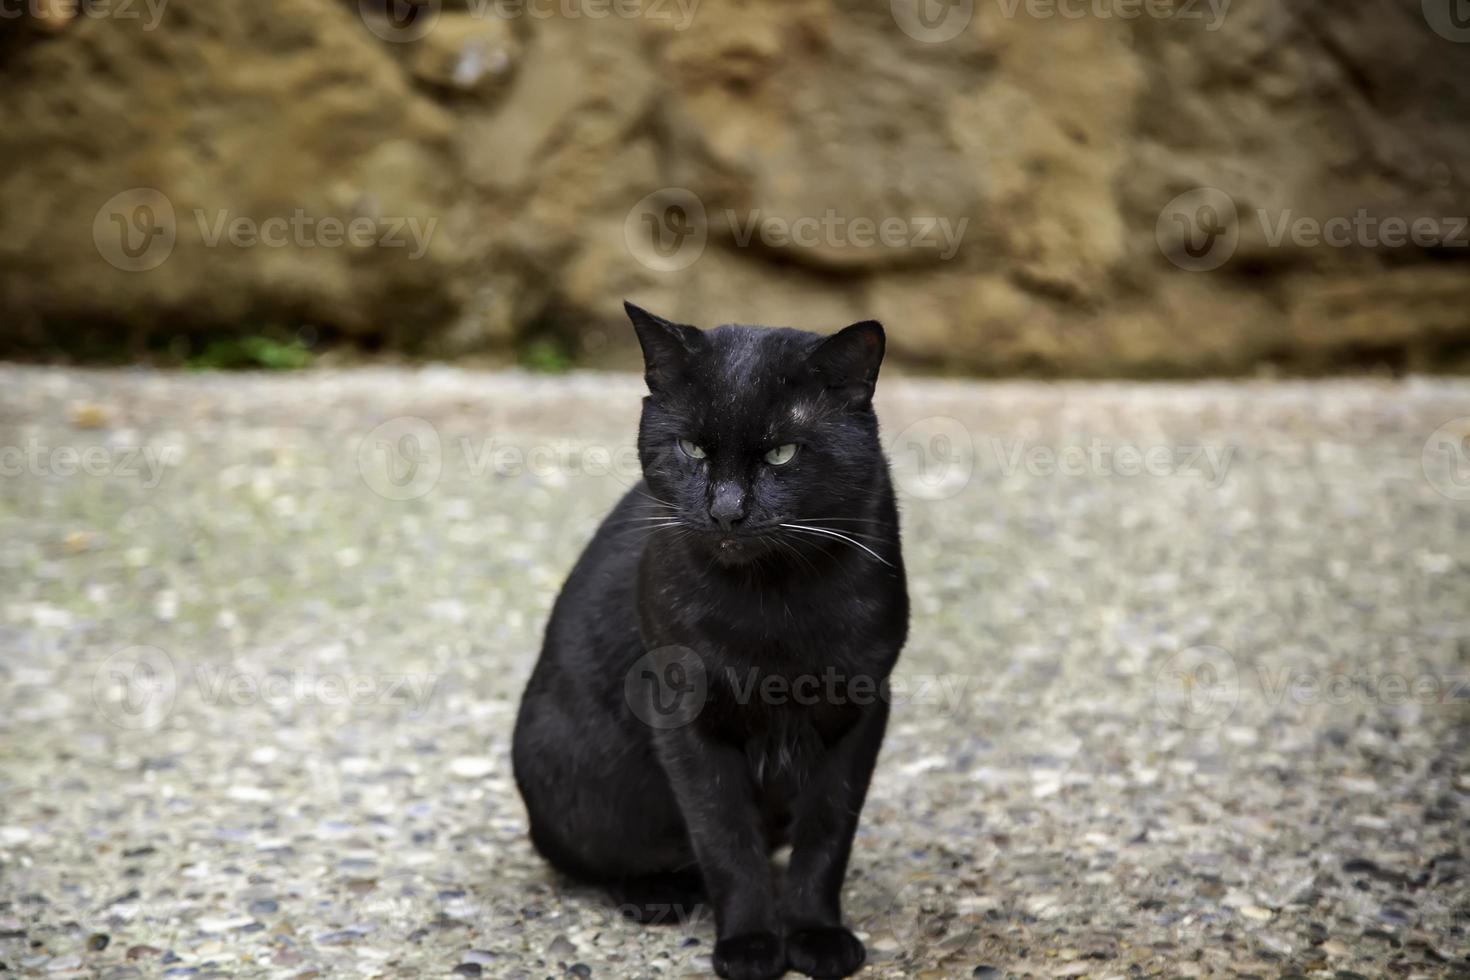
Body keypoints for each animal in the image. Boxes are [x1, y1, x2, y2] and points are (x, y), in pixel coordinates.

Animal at [517, 304, 905, 980]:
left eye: (781, 453)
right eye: (692, 447)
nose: (726, 511)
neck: (775, 603)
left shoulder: (859, 713)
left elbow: (828, 836)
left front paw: (816, 935)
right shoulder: (688, 724)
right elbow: (725, 840)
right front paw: (749, 945)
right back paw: (660, 893)